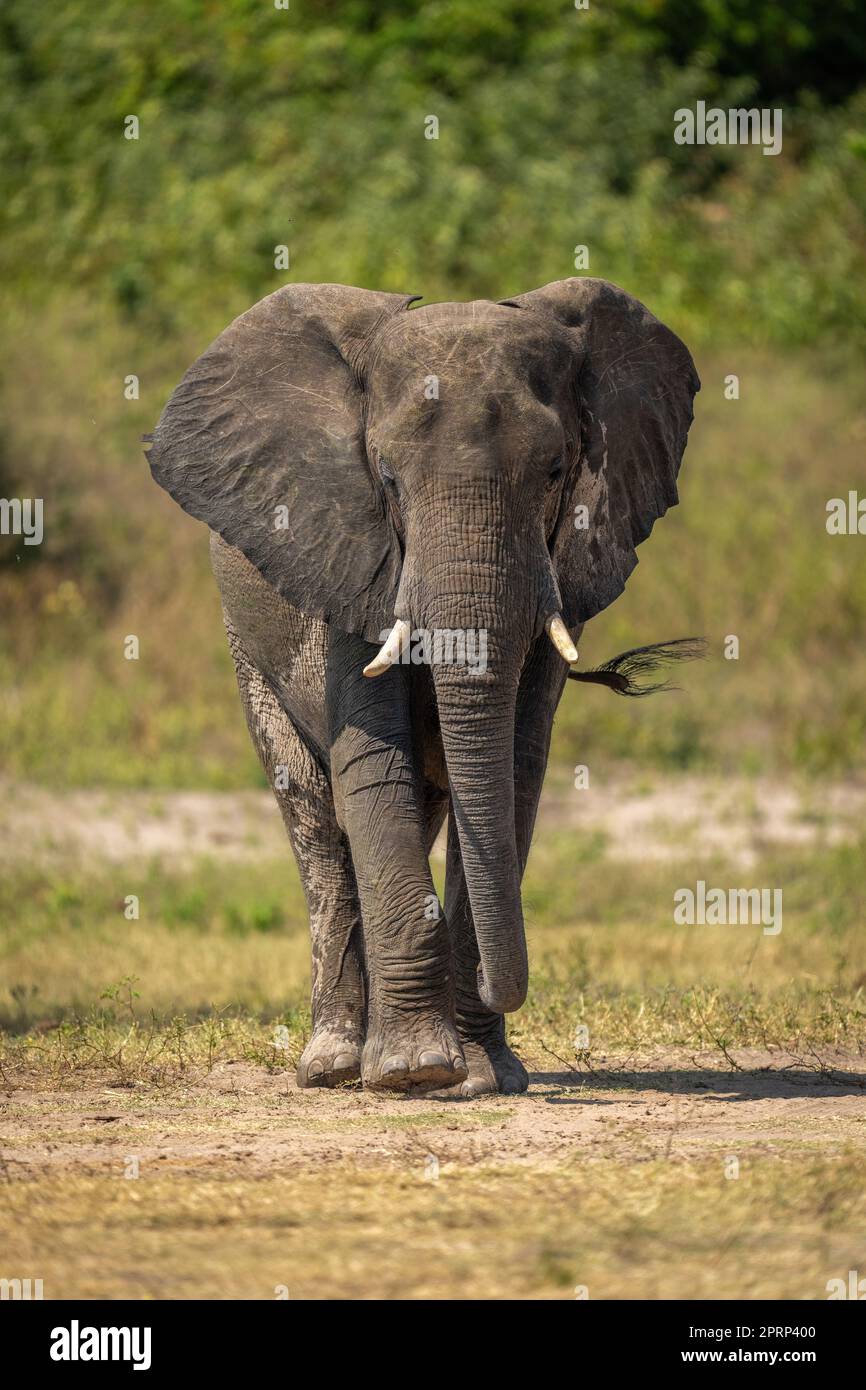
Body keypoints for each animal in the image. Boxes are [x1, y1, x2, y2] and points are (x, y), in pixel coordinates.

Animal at [147, 277, 700, 1096]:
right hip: (247, 647)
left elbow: (514, 769)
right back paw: (337, 1065)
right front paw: (416, 1073)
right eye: (386, 478)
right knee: (316, 815)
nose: (501, 993)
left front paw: (481, 1076)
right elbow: (375, 768)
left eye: (556, 470)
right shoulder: (348, 552)